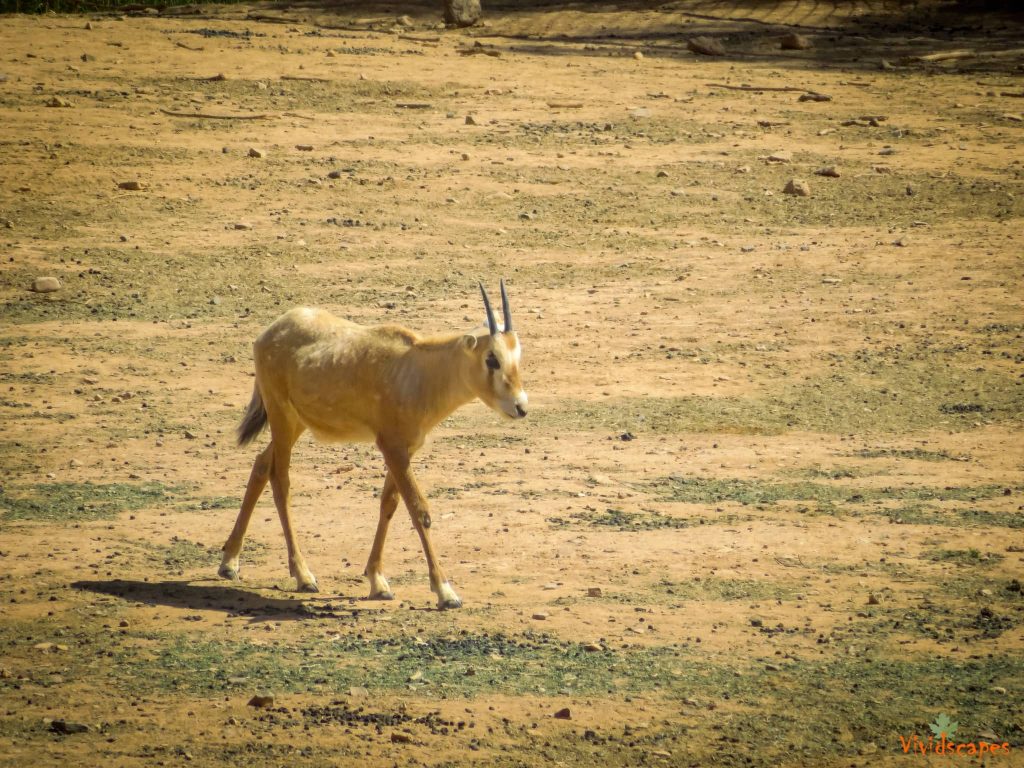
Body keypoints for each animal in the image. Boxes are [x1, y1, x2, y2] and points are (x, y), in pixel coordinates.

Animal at [221, 280, 532, 610]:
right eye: (491, 358)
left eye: (517, 355)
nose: (520, 407)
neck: (420, 371)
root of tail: (269, 331)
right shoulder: (392, 447)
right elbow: (419, 510)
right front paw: (445, 591)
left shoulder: (406, 449)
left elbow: (389, 504)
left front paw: (378, 581)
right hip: (281, 416)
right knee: (280, 480)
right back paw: (303, 575)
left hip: (295, 422)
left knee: (261, 464)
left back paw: (229, 563)